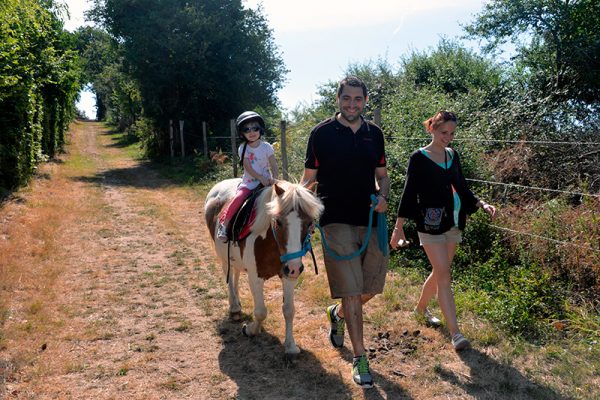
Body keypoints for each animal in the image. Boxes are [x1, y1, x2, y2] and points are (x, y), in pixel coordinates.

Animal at [204, 180, 324, 354]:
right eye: (278, 222)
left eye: (309, 223)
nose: (295, 267)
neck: (269, 242)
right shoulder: (255, 277)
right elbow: (261, 312)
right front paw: (251, 330)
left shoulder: (288, 275)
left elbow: (289, 310)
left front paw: (290, 346)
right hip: (223, 257)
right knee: (228, 278)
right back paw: (234, 307)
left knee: (235, 274)